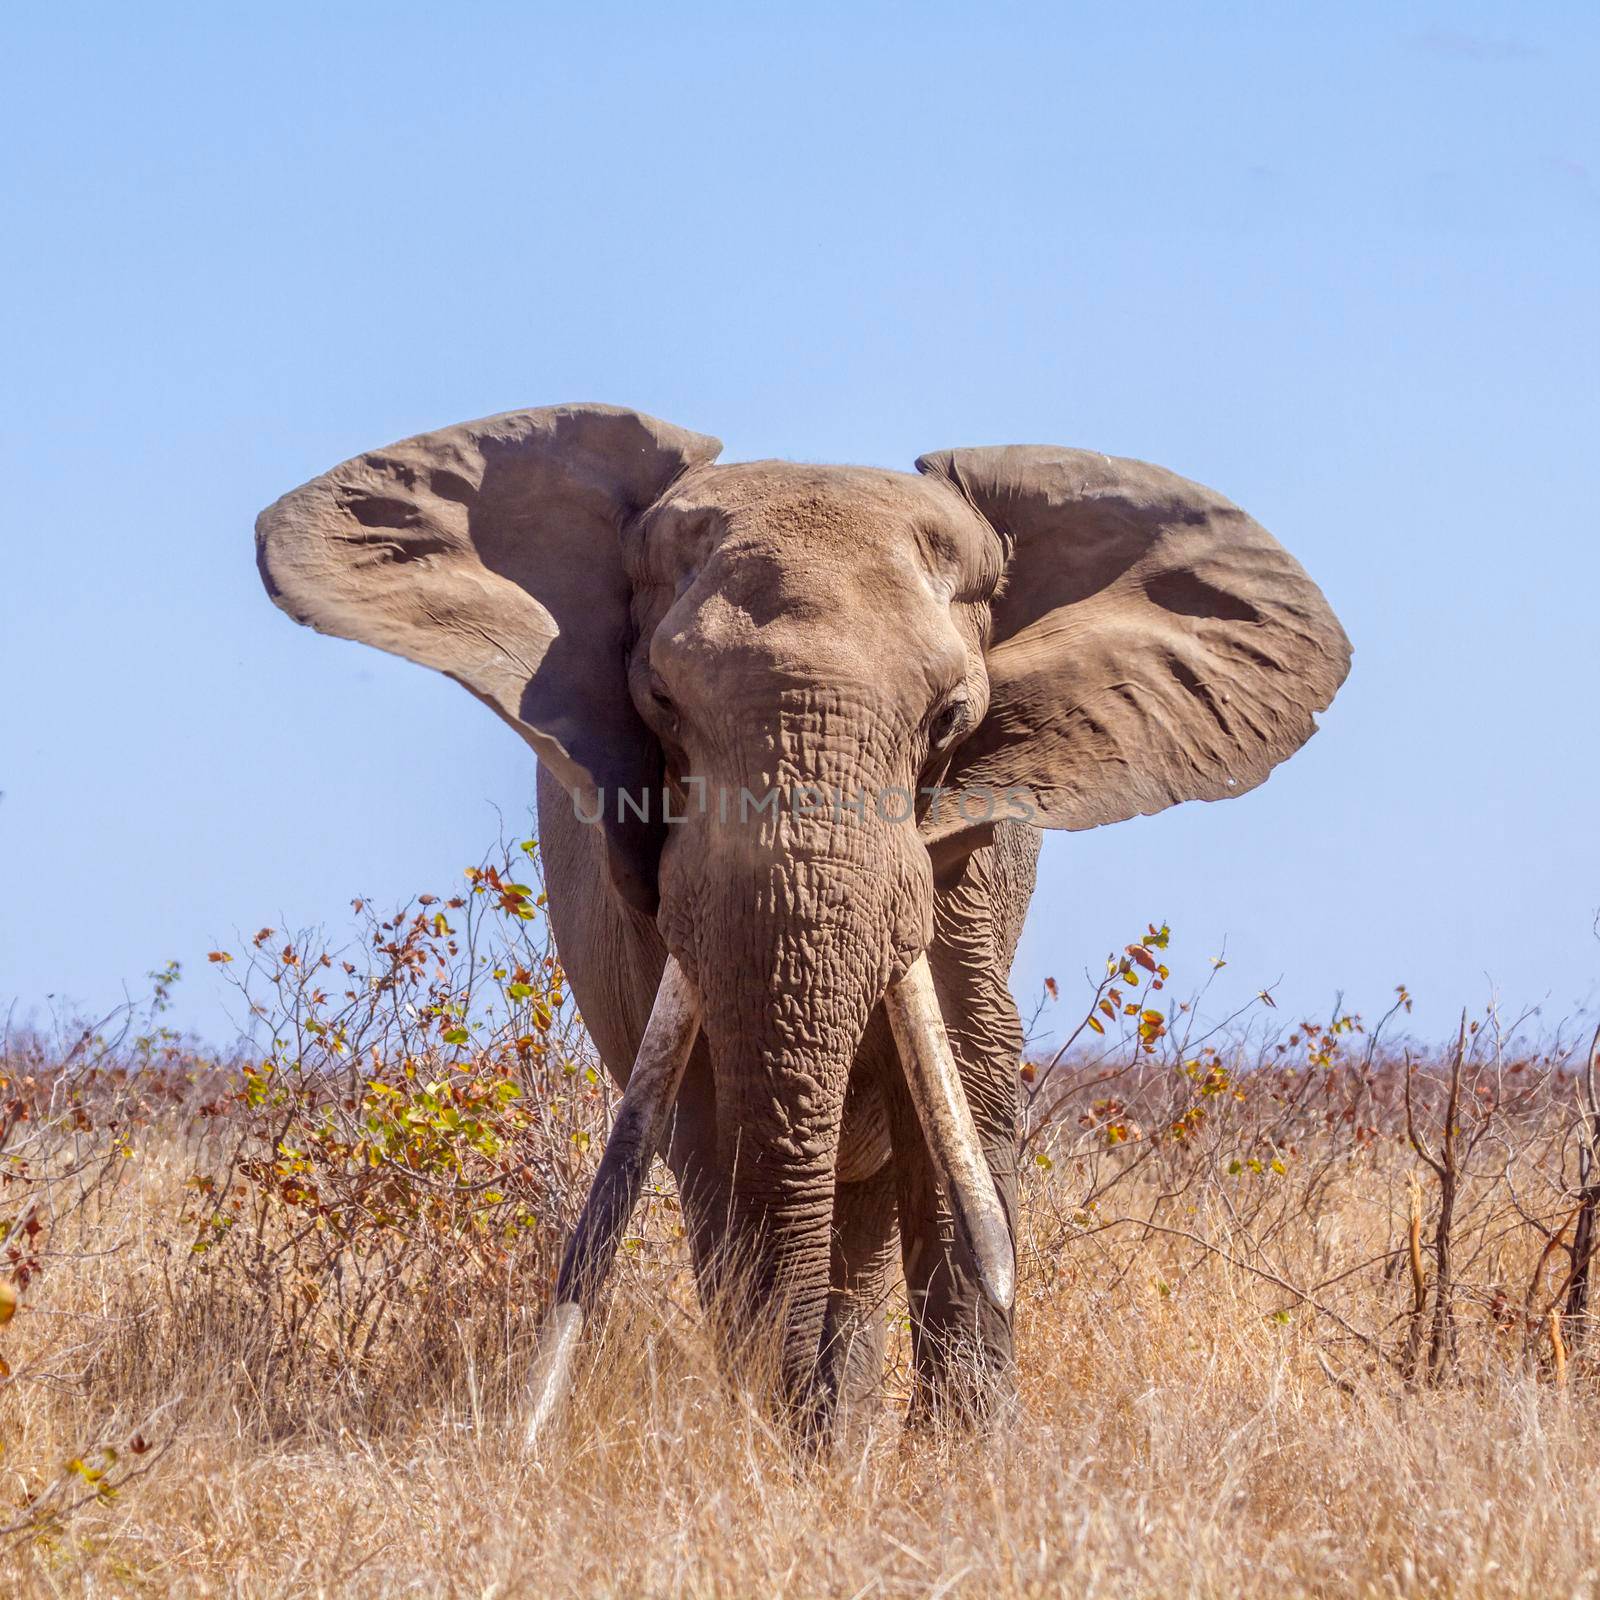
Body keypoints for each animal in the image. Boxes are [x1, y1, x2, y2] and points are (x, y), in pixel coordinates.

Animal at [252, 403, 1350, 1452]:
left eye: (951, 720)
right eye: (660, 702)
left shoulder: (966, 861)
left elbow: (964, 1080)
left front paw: (961, 1470)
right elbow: (713, 1117)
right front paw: (787, 1461)